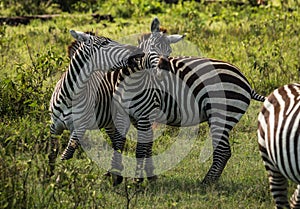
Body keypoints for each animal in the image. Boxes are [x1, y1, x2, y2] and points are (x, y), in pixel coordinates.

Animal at [48, 29, 144, 176]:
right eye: (104, 43)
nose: (138, 52)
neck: (70, 96)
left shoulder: (79, 128)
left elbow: (66, 155)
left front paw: (61, 178)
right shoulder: (54, 126)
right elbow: (52, 154)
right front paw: (48, 176)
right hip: (110, 121)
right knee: (117, 142)